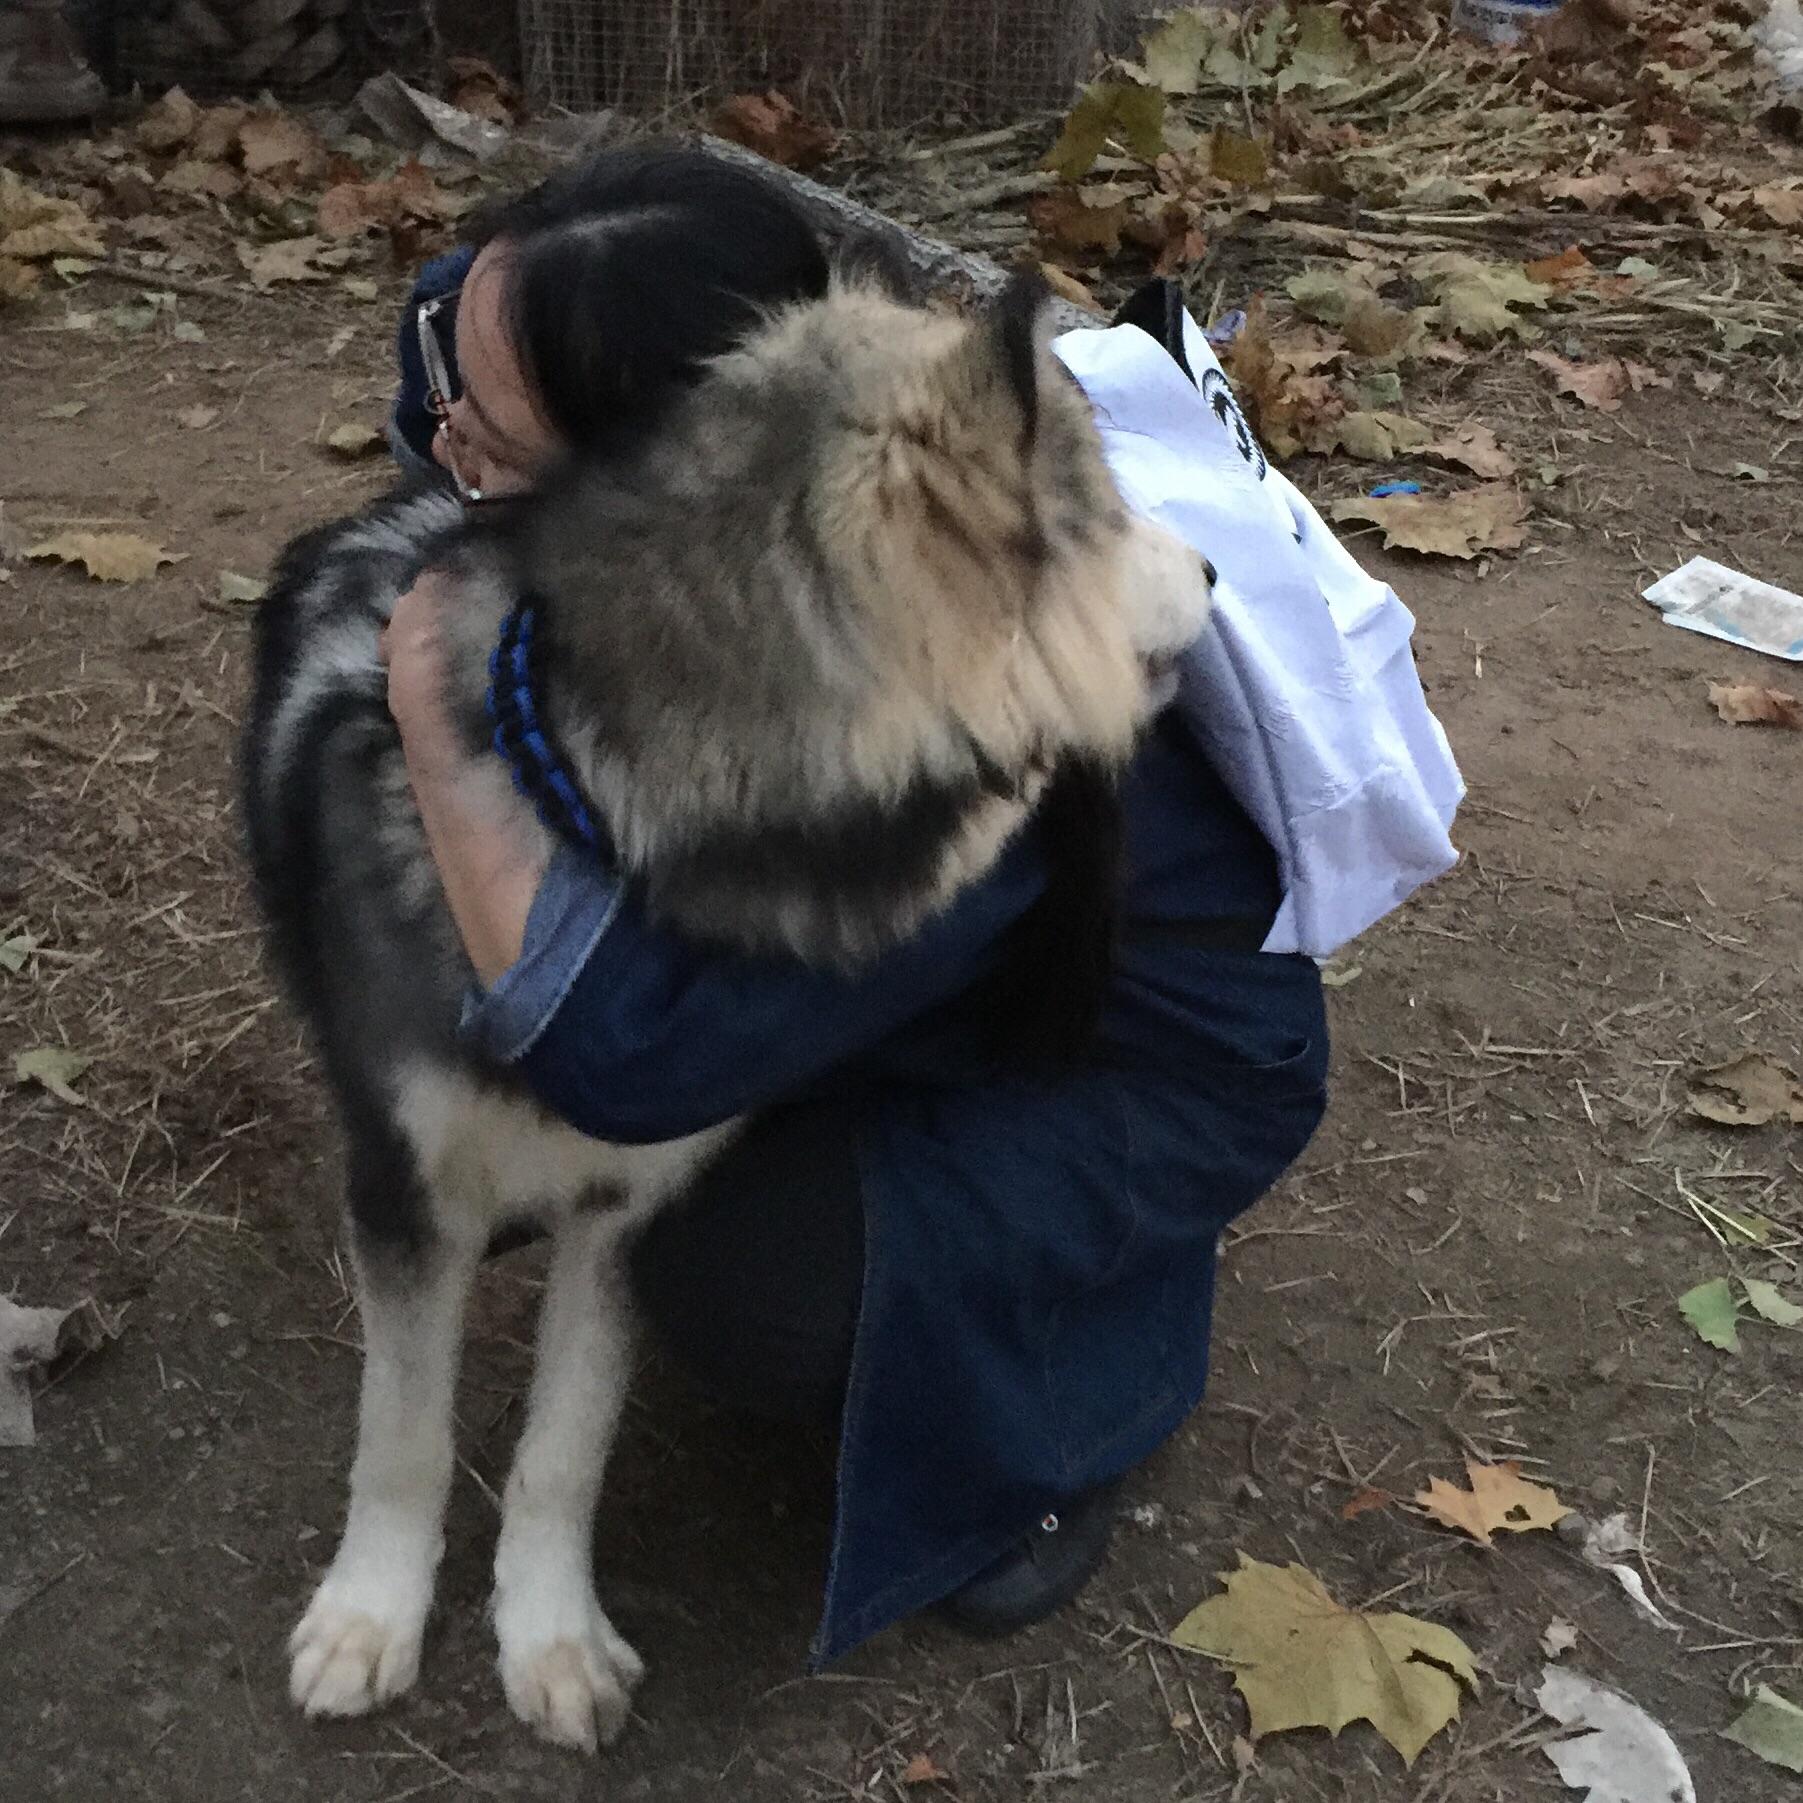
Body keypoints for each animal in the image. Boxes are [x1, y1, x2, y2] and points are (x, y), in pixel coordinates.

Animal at [241, 273, 1213, 1751]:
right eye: (1102, 508)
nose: (1215, 573)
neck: (591, 789)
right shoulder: (408, 1185)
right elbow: (402, 1433)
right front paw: (370, 1615)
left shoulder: (633, 1204)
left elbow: (565, 1443)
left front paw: (549, 1634)